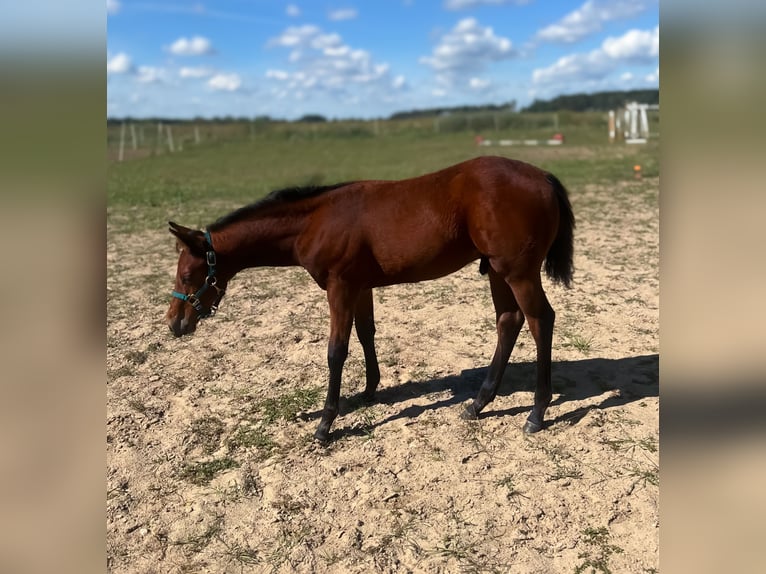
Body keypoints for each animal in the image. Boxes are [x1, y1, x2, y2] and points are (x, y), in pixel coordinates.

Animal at [166, 156, 574, 443]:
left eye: (186, 275)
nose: (174, 323)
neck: (316, 221)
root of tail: (544, 177)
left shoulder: (340, 287)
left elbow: (336, 351)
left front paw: (325, 423)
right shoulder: (360, 287)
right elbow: (366, 334)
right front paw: (368, 391)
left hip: (517, 272)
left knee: (540, 320)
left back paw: (537, 412)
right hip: (497, 271)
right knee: (509, 321)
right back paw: (478, 403)